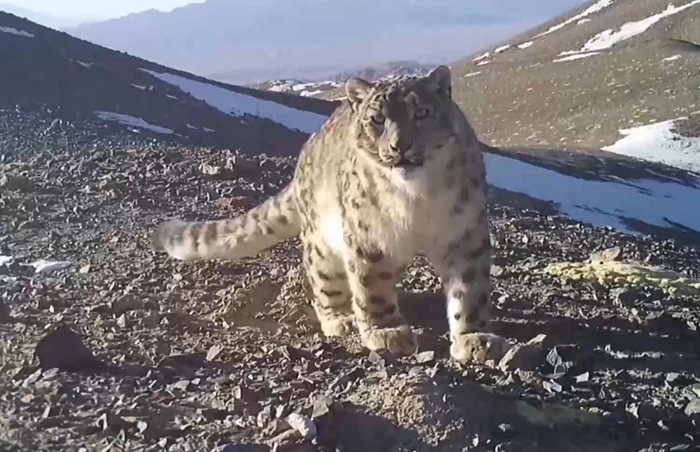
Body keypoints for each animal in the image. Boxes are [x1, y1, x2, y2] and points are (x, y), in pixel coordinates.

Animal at [151, 65, 508, 363]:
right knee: (325, 284)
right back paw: (341, 318)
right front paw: (385, 331)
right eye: (377, 119)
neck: (418, 197)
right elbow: (371, 284)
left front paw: (475, 337)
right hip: (323, 245)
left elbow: (469, 288)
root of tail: (302, 161)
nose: (399, 146)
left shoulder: (465, 233)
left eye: (421, 113)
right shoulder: (368, 234)